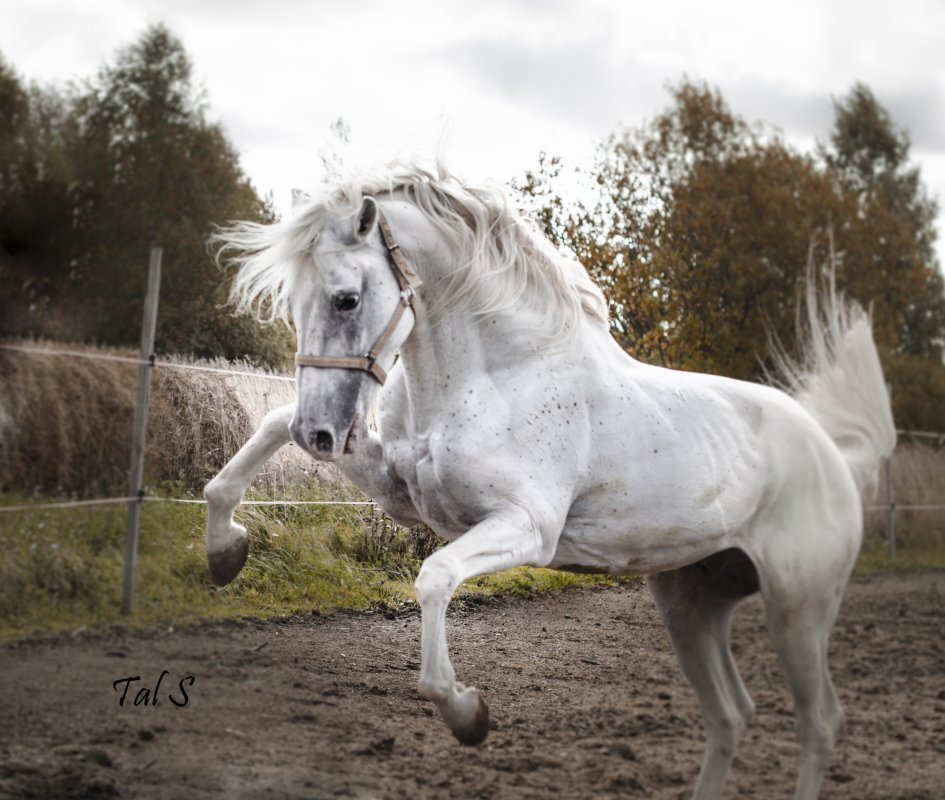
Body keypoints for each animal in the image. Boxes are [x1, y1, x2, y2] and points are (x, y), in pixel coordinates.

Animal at [205, 164, 892, 800]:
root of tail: (831, 451)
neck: (500, 373)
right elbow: (266, 426)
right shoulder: (398, 489)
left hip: (797, 607)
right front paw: (224, 551)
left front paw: (468, 715)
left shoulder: (525, 529)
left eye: (346, 298)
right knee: (730, 716)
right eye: (293, 303)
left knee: (818, 723)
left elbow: (434, 579)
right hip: (691, 604)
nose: (321, 432)